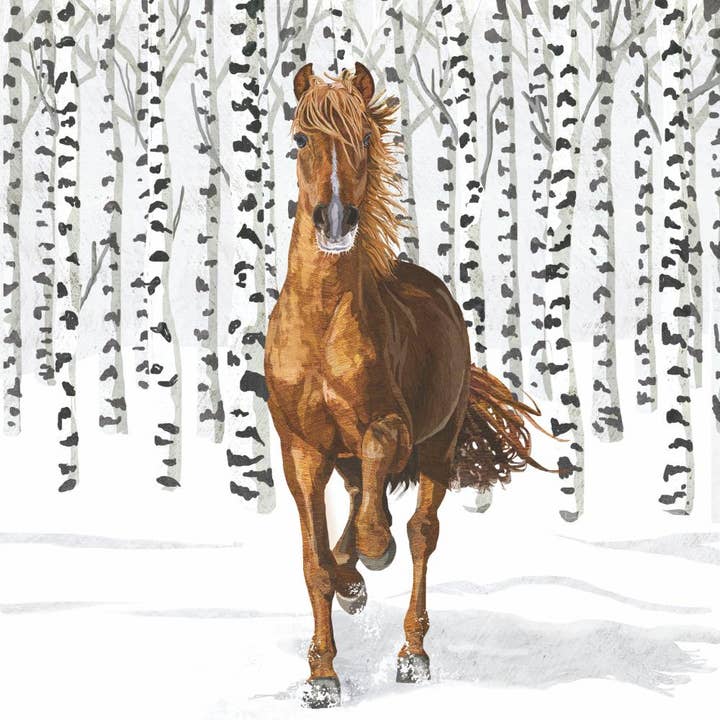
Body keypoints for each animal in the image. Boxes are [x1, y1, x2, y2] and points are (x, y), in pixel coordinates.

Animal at [265, 62, 546, 709]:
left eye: (366, 140)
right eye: (300, 139)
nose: (336, 223)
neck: (322, 323)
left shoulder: (389, 427)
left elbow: (378, 518)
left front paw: (373, 558)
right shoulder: (302, 451)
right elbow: (315, 562)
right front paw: (322, 677)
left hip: (438, 447)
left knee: (420, 532)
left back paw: (412, 651)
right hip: (342, 459)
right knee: (354, 505)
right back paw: (353, 582)